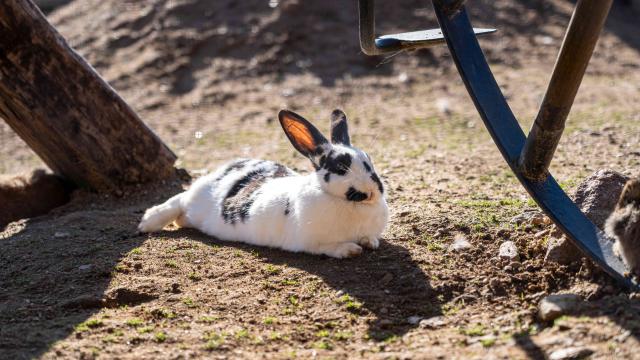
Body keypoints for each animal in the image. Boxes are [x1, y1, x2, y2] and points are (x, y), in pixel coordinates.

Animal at [139, 108, 390, 258]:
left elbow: (369, 238)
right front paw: (351, 249)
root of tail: (225, 169)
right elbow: (331, 247)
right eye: (341, 168)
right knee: (179, 199)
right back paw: (148, 222)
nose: (372, 192)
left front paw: (370, 242)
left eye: (369, 160)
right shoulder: (311, 242)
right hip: (197, 198)